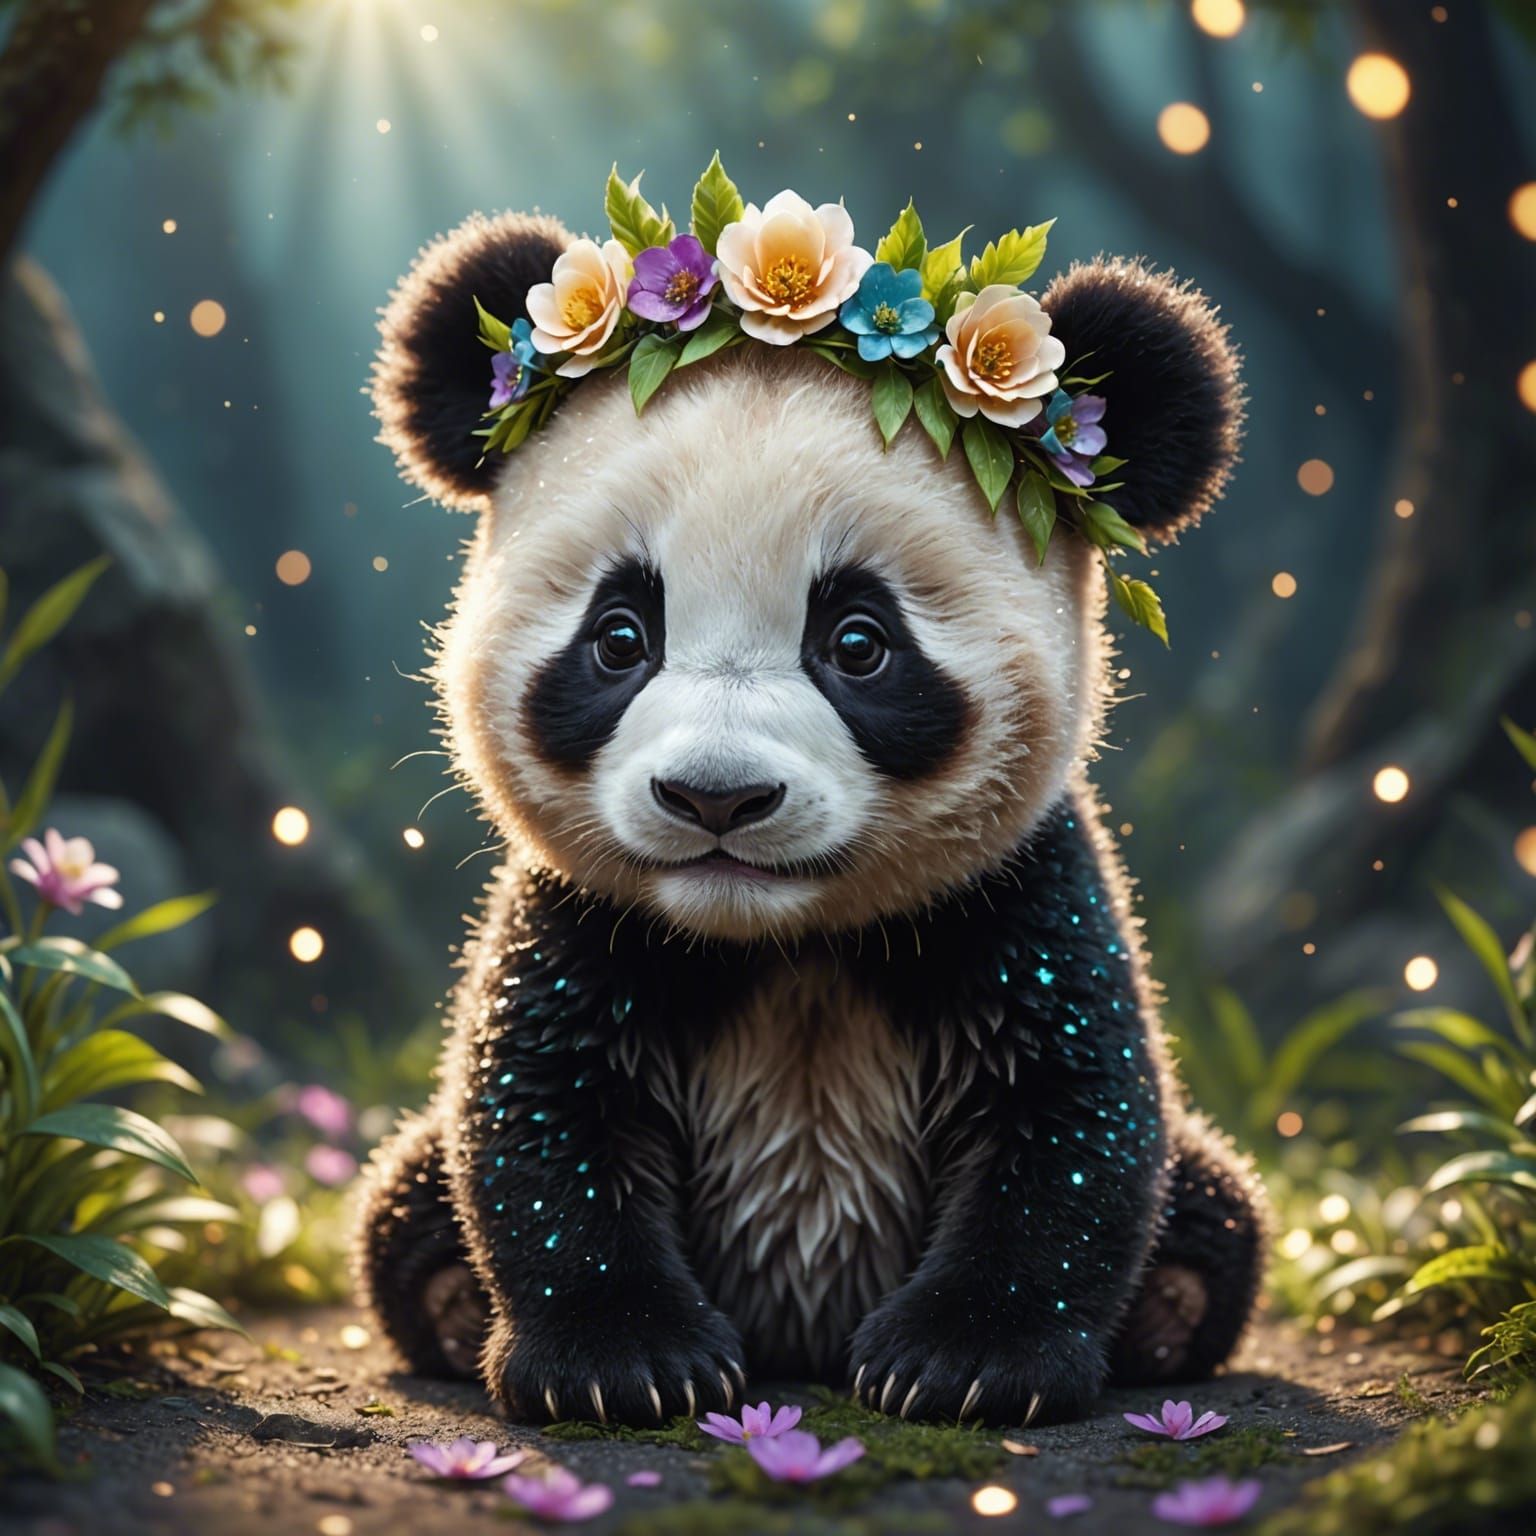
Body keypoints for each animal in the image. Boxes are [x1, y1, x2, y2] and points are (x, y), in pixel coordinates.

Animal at [353, 202, 1265, 1429]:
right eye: (620, 637)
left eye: (859, 644)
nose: (717, 796)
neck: (784, 942)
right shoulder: (582, 917)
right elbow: (538, 1106)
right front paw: (625, 1363)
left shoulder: (1022, 896)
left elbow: (1074, 1113)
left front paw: (964, 1364)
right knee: (404, 1204)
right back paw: (452, 1307)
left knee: (1215, 1209)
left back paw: (1165, 1316)